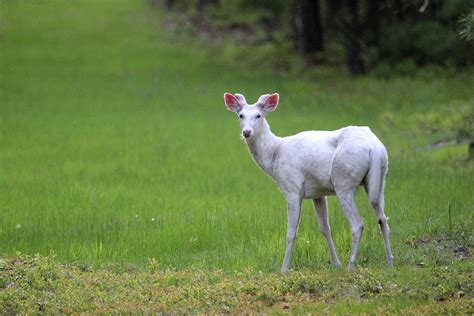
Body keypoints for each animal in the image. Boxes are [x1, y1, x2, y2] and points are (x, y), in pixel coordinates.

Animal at [224, 92, 394, 272]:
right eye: (240, 115)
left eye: (258, 115)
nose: (246, 132)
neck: (275, 155)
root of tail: (375, 148)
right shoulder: (318, 193)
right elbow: (325, 229)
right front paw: (336, 265)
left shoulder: (292, 187)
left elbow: (291, 232)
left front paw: (284, 270)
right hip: (378, 179)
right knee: (383, 220)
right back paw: (390, 263)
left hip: (344, 180)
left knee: (358, 224)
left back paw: (350, 267)